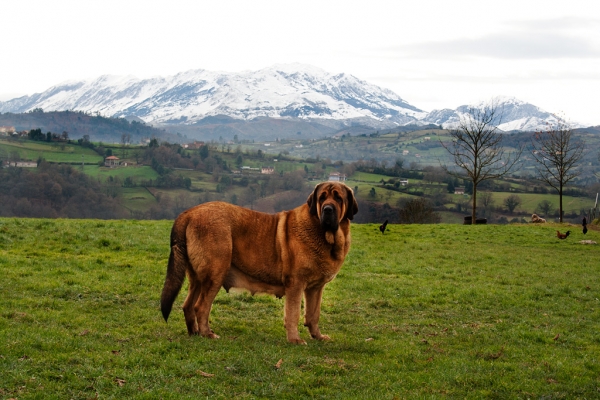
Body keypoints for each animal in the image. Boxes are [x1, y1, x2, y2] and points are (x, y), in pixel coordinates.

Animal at [161, 182, 356, 344]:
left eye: (338, 198)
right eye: (322, 198)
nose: (328, 209)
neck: (324, 235)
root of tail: (189, 213)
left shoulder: (315, 288)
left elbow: (313, 315)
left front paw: (318, 336)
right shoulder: (296, 284)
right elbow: (293, 314)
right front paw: (295, 339)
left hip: (197, 279)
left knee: (188, 305)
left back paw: (194, 333)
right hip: (215, 274)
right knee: (200, 307)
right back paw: (207, 334)